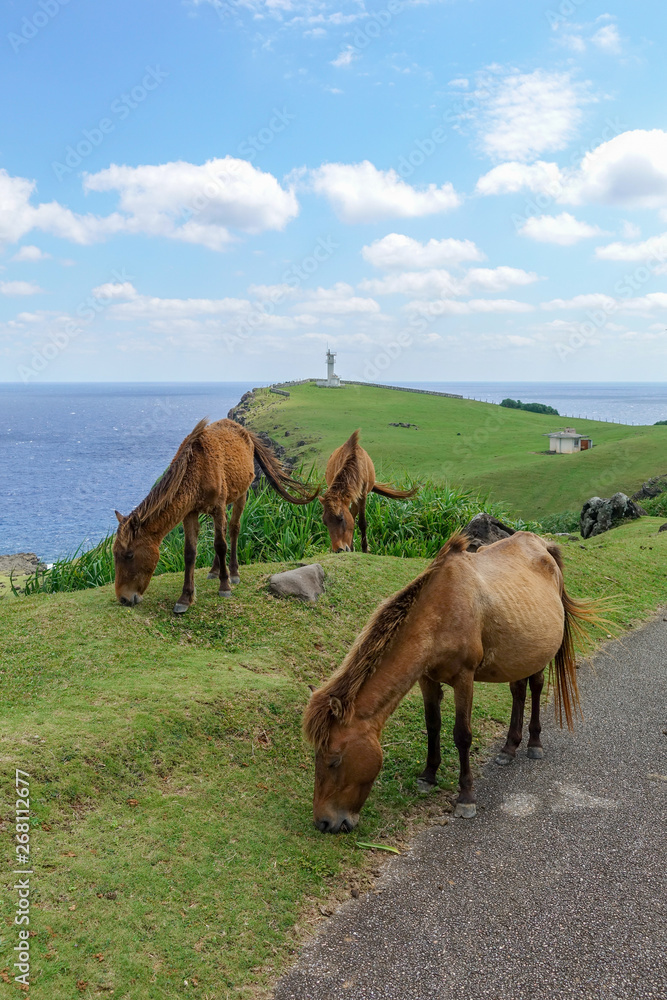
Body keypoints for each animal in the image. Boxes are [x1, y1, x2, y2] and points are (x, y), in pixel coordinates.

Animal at [113, 418, 319, 614]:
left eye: (129, 555)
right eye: (115, 554)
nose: (123, 598)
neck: (197, 470)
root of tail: (245, 433)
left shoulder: (218, 507)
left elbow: (220, 545)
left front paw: (225, 586)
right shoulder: (190, 512)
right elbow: (190, 552)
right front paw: (185, 598)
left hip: (241, 494)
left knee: (233, 529)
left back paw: (233, 573)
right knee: (224, 531)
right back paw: (214, 569)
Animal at [304, 531, 601, 832]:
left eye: (334, 760)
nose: (324, 822)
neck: (441, 612)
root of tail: (542, 544)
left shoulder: (464, 679)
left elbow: (462, 735)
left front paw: (466, 797)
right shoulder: (426, 679)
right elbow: (433, 725)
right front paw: (428, 775)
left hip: (538, 656)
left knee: (536, 687)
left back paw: (534, 744)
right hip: (516, 657)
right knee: (518, 691)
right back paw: (509, 747)